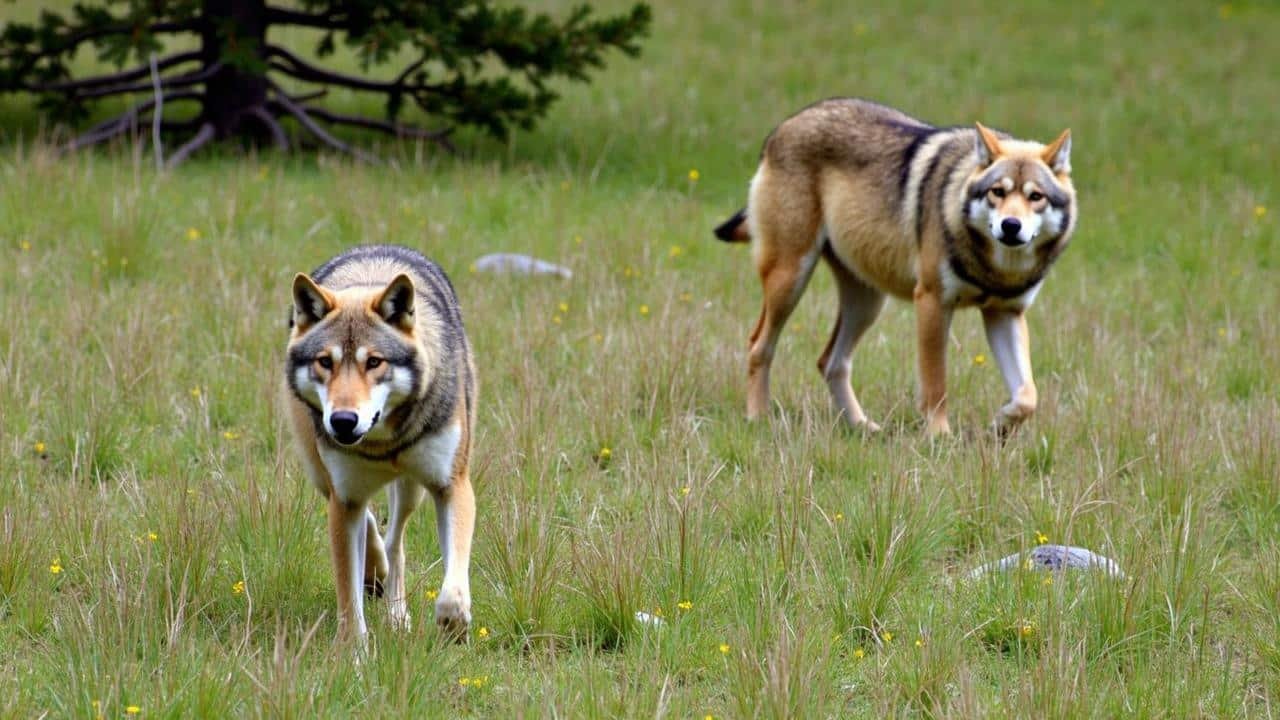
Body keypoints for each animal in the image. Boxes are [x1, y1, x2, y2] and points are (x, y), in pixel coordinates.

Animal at [283, 244, 477, 642]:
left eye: (374, 362)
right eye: (325, 362)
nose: (343, 420)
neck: (381, 444)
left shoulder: (452, 485)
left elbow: (453, 587)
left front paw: (454, 624)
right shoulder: (345, 498)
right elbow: (349, 602)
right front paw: (354, 653)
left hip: (411, 490)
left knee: (395, 540)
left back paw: (397, 616)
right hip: (321, 477)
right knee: (377, 534)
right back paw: (376, 575)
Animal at [714, 98, 1076, 436]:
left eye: (1036, 197)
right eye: (997, 192)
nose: (1010, 226)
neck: (995, 268)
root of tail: (783, 127)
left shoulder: (1005, 313)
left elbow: (1028, 395)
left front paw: (1002, 424)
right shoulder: (931, 302)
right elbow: (936, 385)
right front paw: (939, 436)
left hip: (867, 303)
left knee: (831, 362)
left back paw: (862, 427)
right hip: (790, 281)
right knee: (758, 346)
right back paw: (758, 417)